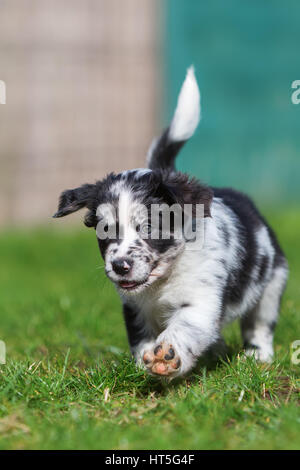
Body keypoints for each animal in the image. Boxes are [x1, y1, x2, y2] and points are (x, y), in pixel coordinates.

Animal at [54, 67, 288, 378]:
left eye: (149, 228)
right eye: (105, 231)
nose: (119, 266)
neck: (161, 281)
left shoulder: (201, 299)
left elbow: (185, 326)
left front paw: (166, 355)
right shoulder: (135, 308)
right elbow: (141, 338)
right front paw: (144, 365)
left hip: (272, 283)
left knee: (259, 323)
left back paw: (258, 356)